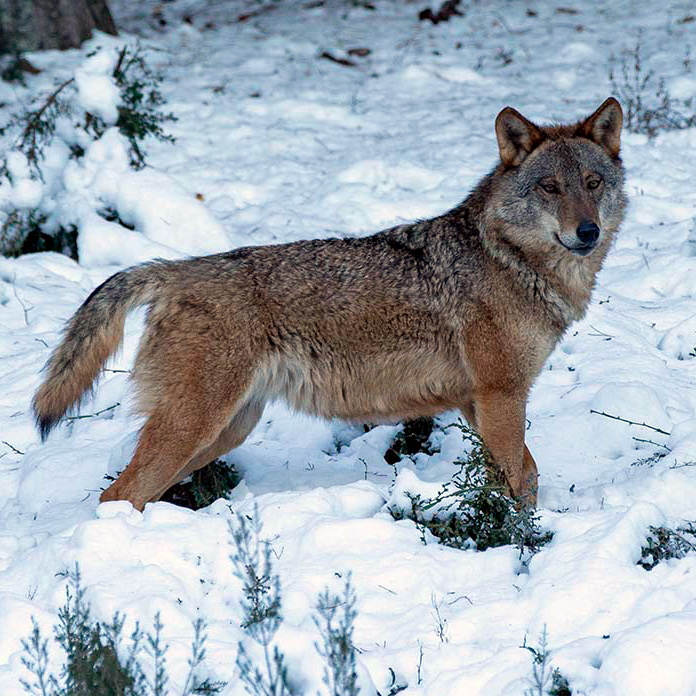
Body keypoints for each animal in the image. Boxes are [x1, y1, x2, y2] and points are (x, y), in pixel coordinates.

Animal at [32, 96, 628, 512]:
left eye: (593, 183)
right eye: (549, 187)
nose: (587, 232)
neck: (510, 260)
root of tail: (169, 270)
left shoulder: (476, 401)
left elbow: (528, 475)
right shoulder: (500, 395)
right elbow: (515, 481)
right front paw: (520, 540)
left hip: (225, 430)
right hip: (194, 427)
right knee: (116, 497)